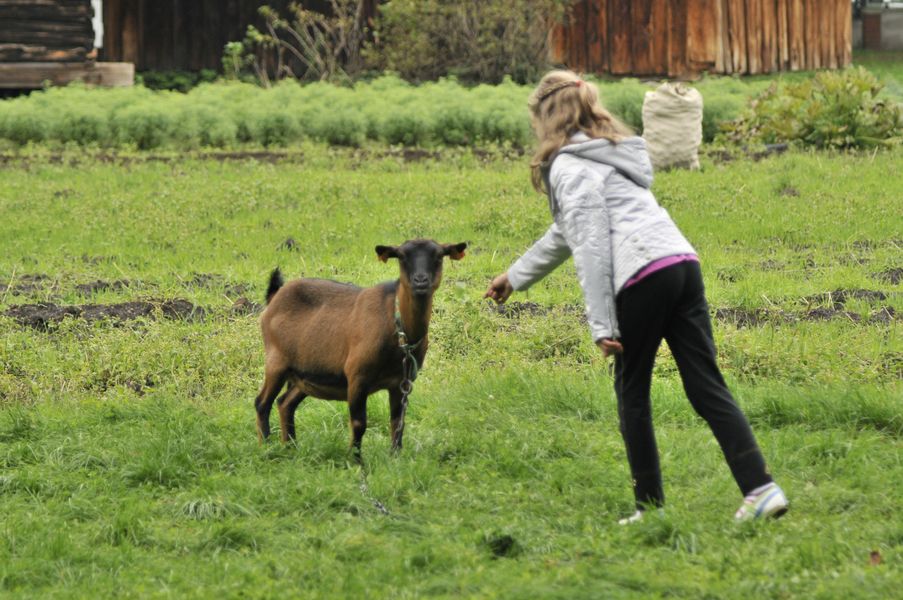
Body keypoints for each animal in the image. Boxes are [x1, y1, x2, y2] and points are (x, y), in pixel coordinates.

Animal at [254, 239, 467, 455]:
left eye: (439, 256)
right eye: (402, 256)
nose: (420, 281)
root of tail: (274, 297)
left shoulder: (402, 381)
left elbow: (397, 422)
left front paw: (395, 456)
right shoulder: (357, 375)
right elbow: (359, 424)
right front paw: (354, 458)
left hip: (304, 374)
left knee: (285, 403)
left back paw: (291, 447)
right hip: (276, 362)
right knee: (262, 403)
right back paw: (266, 448)